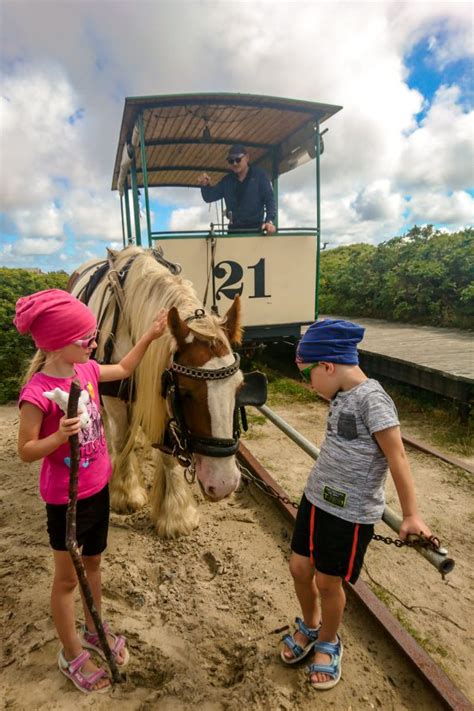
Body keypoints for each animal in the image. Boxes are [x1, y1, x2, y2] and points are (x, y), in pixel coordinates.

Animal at [70, 248, 246, 536]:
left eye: (239, 387)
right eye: (185, 392)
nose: (224, 484)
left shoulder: (158, 392)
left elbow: (169, 454)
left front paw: (176, 512)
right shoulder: (115, 395)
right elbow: (122, 441)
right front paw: (127, 493)